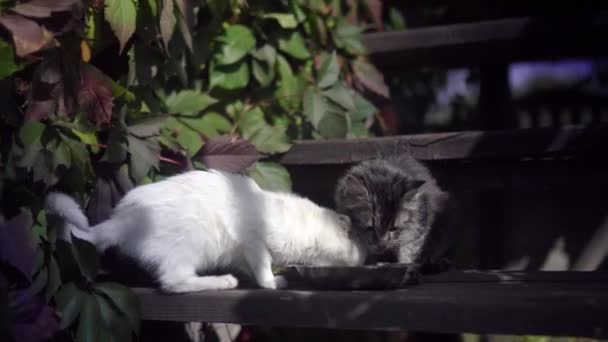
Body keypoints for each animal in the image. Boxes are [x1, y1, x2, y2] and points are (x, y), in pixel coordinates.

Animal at [46, 170, 366, 292]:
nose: (365, 258)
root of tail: (124, 218)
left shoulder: (243, 252)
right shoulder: (253, 241)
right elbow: (263, 268)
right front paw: (273, 282)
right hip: (188, 246)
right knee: (174, 282)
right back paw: (221, 281)